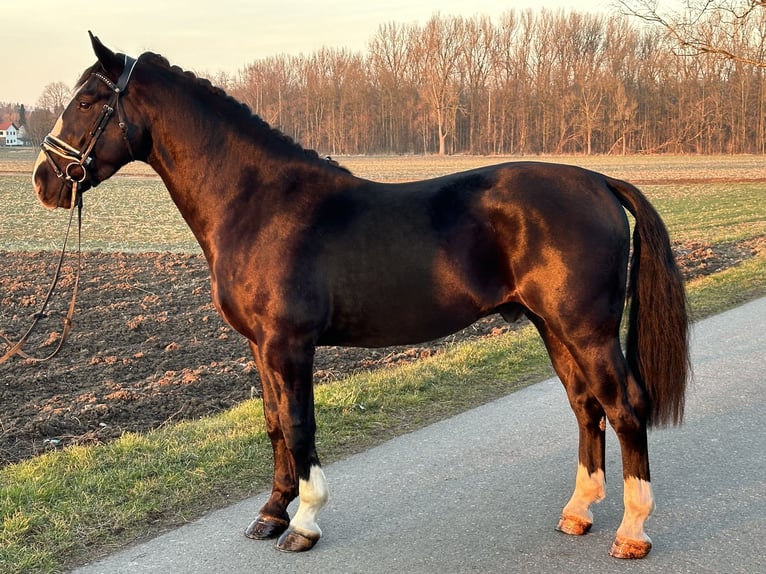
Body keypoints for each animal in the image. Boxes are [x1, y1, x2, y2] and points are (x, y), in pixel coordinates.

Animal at [31, 33, 688, 560]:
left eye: (88, 102)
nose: (43, 180)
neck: (257, 203)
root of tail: (599, 181)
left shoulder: (289, 345)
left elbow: (299, 425)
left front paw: (304, 522)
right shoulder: (260, 347)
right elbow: (273, 424)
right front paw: (269, 515)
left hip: (586, 330)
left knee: (625, 407)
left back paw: (631, 531)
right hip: (550, 326)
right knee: (586, 407)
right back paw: (578, 512)